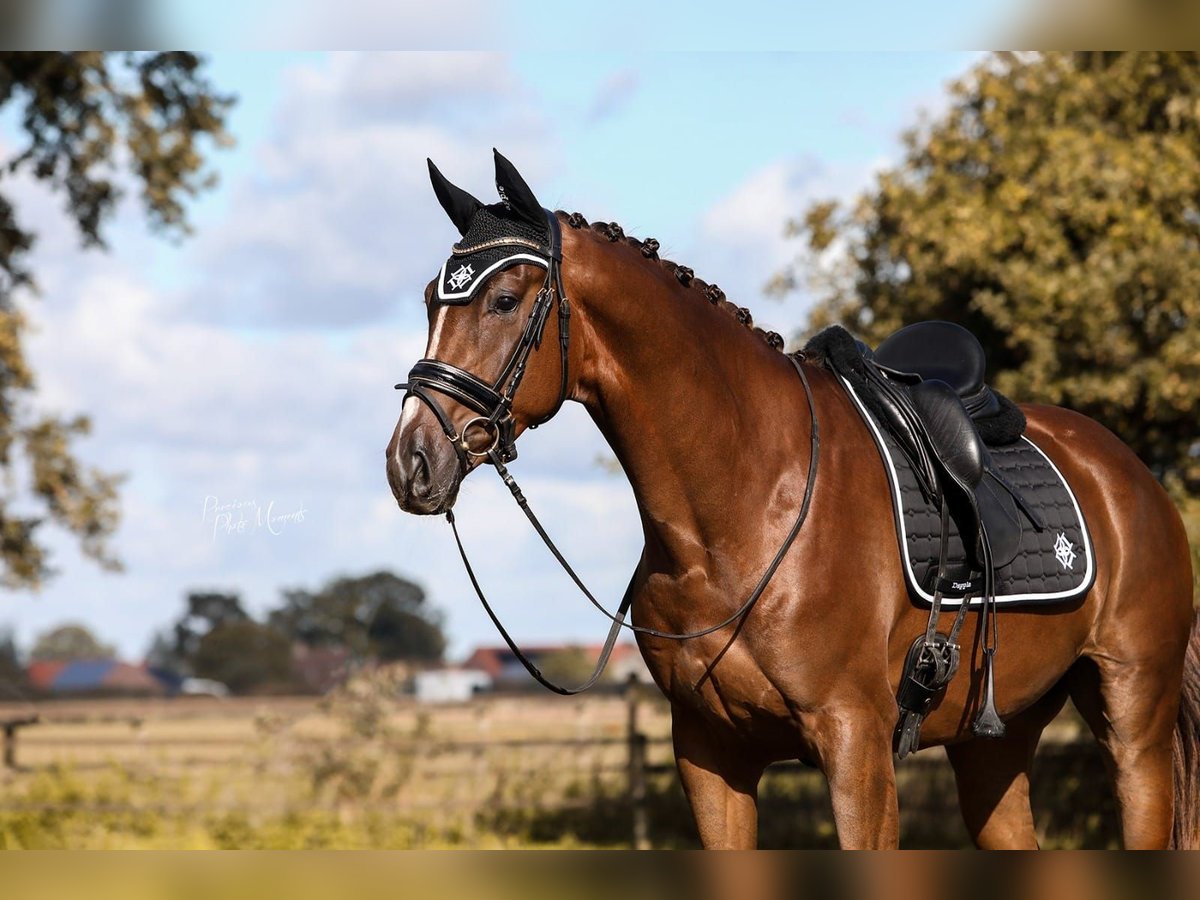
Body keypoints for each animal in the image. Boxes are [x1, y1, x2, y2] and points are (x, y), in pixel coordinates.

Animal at [386, 151, 1199, 849]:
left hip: (1134, 720)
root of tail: (1129, 475)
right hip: (993, 742)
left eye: (504, 299)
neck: (739, 512)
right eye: (430, 300)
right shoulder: (711, 756)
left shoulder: (856, 747)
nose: (410, 461)